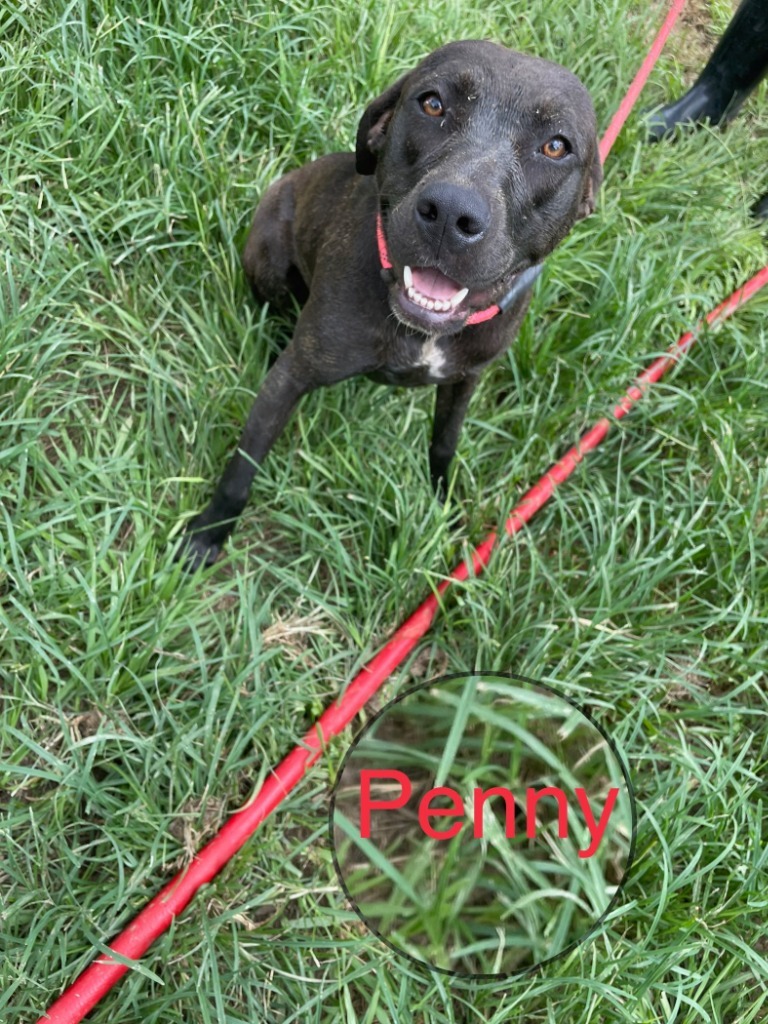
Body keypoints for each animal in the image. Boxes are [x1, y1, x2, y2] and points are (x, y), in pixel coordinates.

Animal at [180, 39, 602, 569]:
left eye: (555, 146)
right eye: (432, 104)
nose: (450, 213)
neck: (422, 330)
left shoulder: (465, 381)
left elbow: (444, 442)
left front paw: (442, 502)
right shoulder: (291, 379)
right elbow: (243, 466)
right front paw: (209, 533)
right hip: (269, 254)